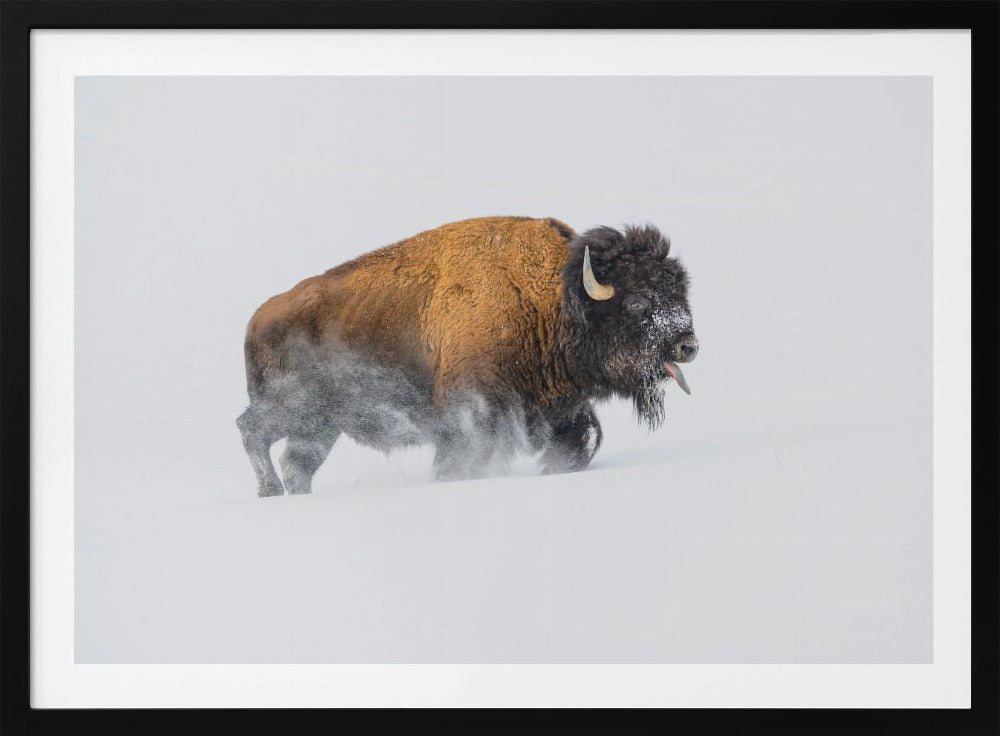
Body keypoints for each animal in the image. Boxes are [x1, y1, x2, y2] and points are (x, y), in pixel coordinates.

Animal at [237, 216, 697, 496]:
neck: (553, 300)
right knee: (251, 430)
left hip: (320, 426)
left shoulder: (561, 410)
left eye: (680, 293)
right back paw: (269, 491)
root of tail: (257, 319)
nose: (688, 345)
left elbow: (578, 443)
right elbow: (462, 460)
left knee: (296, 463)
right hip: (293, 408)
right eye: (637, 301)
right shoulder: (472, 416)